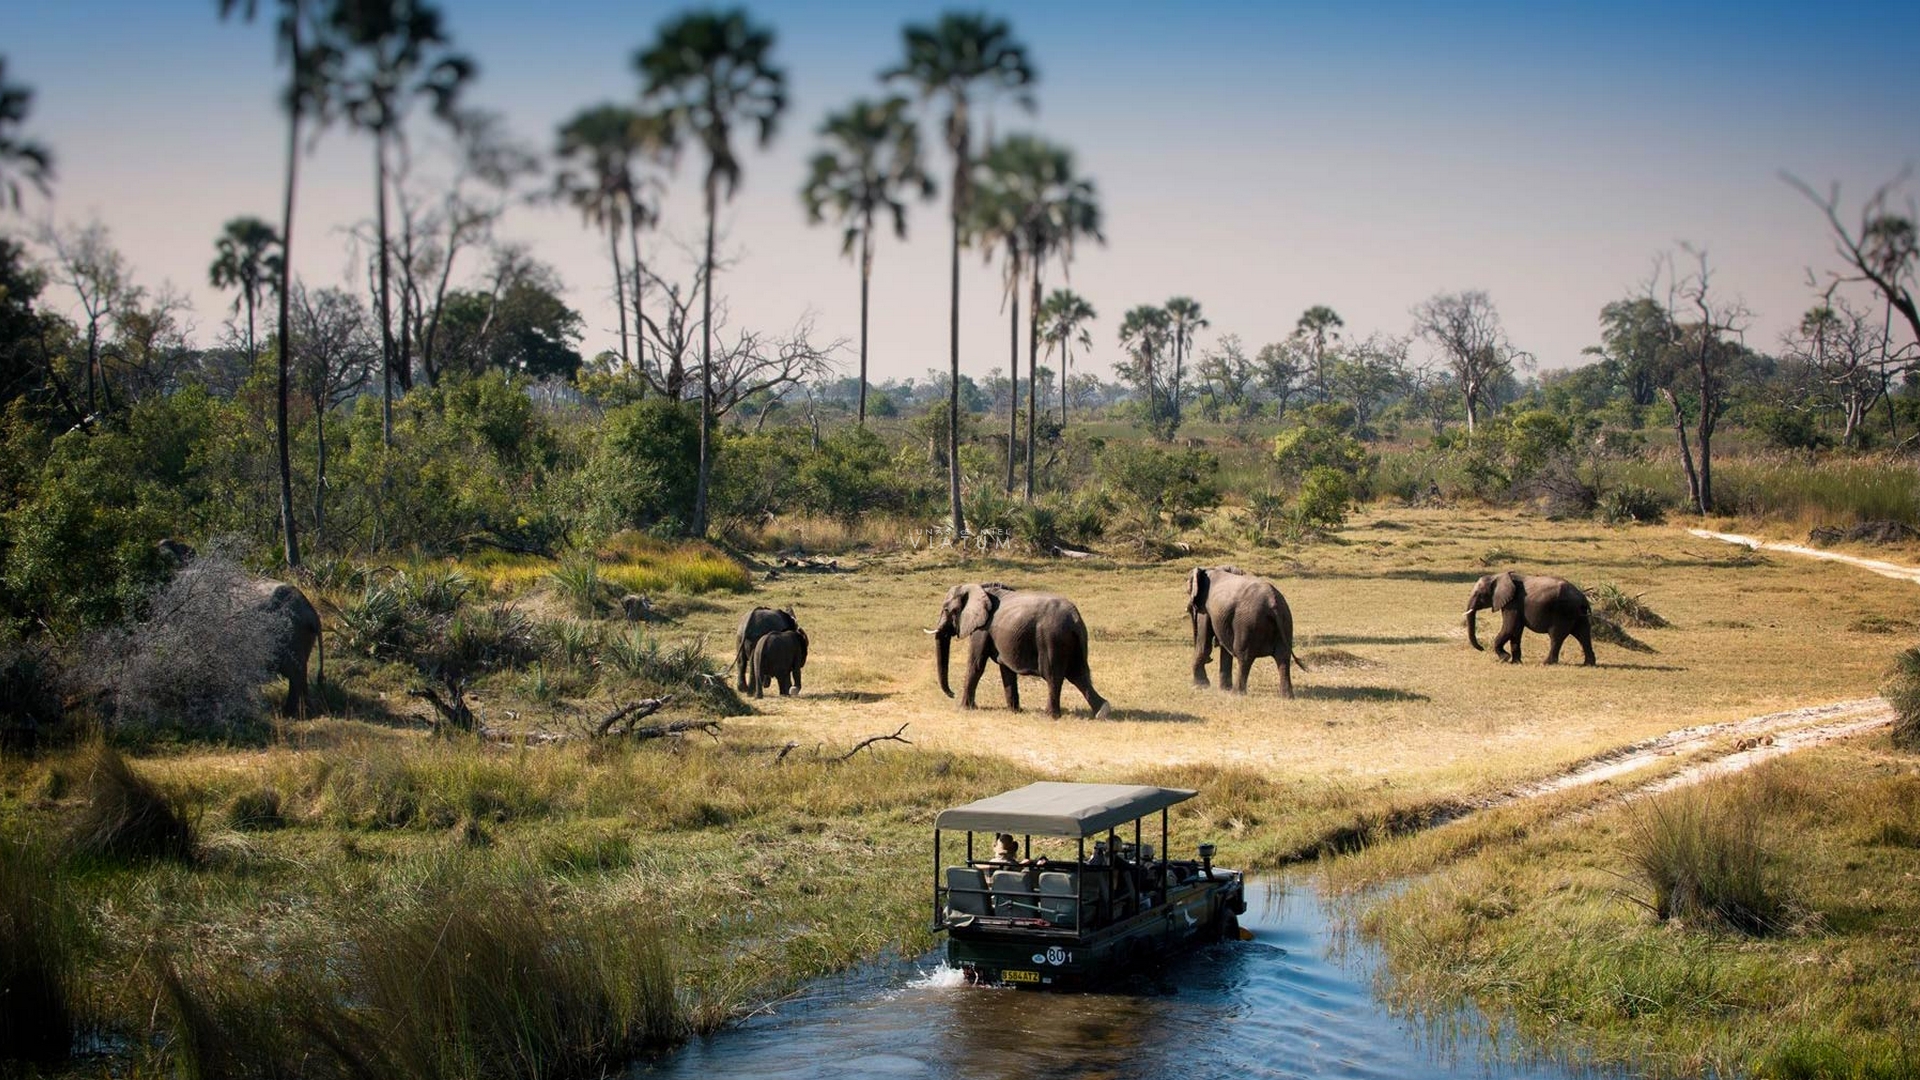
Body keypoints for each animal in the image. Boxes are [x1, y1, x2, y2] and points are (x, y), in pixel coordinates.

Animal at [929, 580, 1113, 714]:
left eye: (946, 609)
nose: (952, 694)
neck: (980, 587)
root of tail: (1075, 618)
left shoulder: (982, 628)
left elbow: (976, 665)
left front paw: (963, 709)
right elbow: (1006, 670)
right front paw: (1014, 711)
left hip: (1052, 639)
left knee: (1053, 675)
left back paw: (1049, 715)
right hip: (1076, 641)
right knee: (1079, 675)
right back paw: (1102, 712)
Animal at [1459, 568, 1597, 661]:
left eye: (1479, 594)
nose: (1482, 648)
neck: (1498, 576)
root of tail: (1583, 598)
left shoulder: (1513, 603)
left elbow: (1509, 627)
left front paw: (1504, 658)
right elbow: (1516, 630)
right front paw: (1515, 662)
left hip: (1563, 611)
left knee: (1556, 637)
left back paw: (1546, 663)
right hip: (1578, 614)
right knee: (1583, 635)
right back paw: (1589, 664)